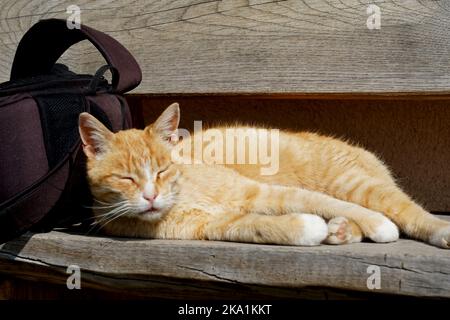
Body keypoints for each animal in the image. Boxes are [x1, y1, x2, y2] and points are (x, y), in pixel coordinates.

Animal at [77, 102, 450, 248]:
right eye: (126, 178)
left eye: (162, 169)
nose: (151, 196)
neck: (181, 196)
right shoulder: (217, 226)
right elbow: (260, 226)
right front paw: (307, 227)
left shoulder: (263, 192)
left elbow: (324, 202)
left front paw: (378, 225)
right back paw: (341, 231)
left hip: (353, 183)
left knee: (406, 210)